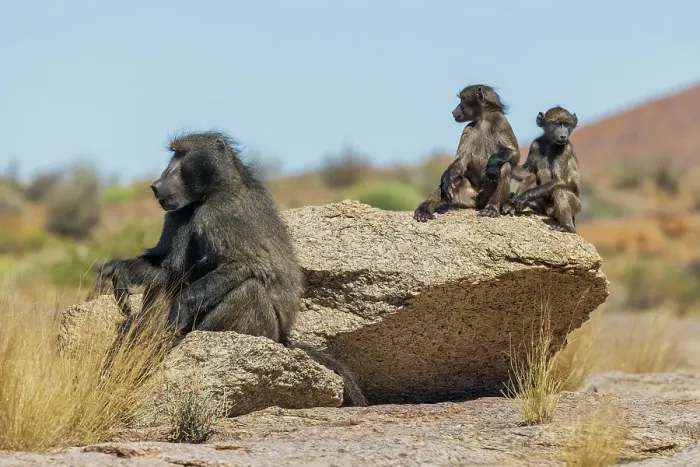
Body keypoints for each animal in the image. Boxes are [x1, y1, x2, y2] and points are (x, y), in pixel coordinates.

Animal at [95, 131, 366, 407]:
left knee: (249, 290)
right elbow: (168, 269)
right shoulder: (180, 212)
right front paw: (121, 272)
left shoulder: (219, 212)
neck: (214, 189)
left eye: (181, 154)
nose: (156, 185)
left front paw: (178, 312)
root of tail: (284, 340)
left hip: (262, 331)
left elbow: (245, 264)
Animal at [413, 84, 520, 222]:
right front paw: (446, 180)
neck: (483, 119)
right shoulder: (468, 129)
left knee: (504, 167)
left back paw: (492, 208)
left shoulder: (502, 122)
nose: (453, 111)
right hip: (466, 197)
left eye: (462, 100)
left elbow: (514, 153)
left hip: (487, 195)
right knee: (454, 179)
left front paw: (492, 163)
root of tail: (478, 203)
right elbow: (460, 161)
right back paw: (424, 209)